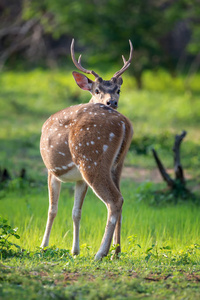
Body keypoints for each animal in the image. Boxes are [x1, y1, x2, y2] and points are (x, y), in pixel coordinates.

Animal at [39, 39, 134, 260]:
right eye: (96, 90)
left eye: (118, 90)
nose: (112, 102)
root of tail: (125, 123)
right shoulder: (79, 179)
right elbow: (76, 212)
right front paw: (75, 250)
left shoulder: (51, 171)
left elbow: (52, 209)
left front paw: (43, 246)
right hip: (117, 164)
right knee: (121, 198)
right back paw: (116, 252)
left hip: (92, 159)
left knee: (115, 200)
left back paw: (100, 253)